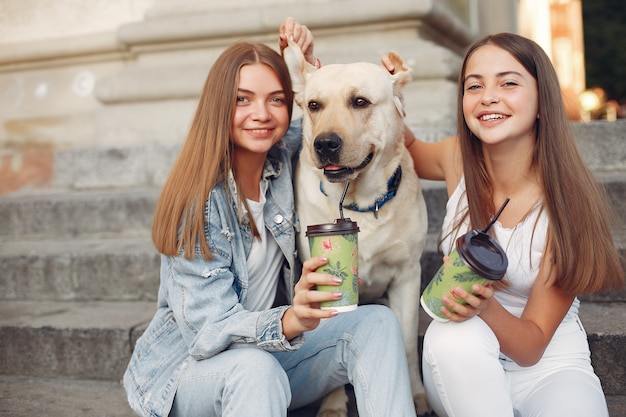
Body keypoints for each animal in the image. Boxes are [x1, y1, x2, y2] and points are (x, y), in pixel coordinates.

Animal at [284, 40, 426, 414]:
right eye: (314, 105)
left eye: (360, 101)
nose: (324, 143)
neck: (358, 202)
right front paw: (333, 404)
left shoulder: (408, 274)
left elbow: (408, 343)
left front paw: (417, 393)